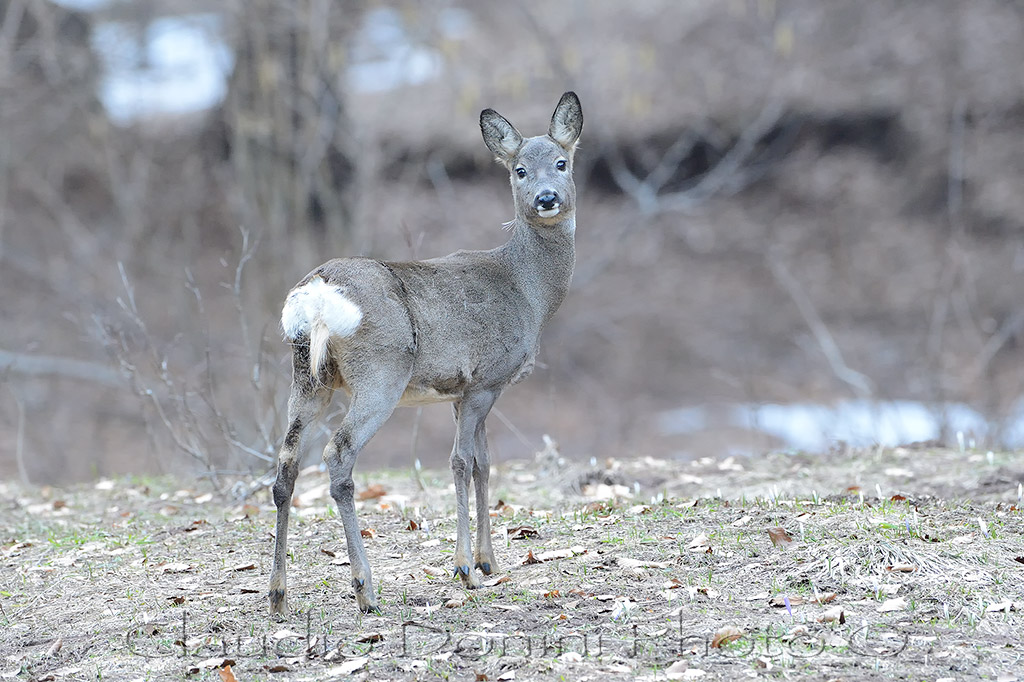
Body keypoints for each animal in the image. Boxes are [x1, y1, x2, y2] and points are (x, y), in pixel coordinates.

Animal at [268, 92, 583, 615]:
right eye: (519, 169)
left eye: (562, 163)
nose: (546, 198)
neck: (528, 290)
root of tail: (318, 291)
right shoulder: (485, 379)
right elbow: (460, 463)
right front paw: (465, 568)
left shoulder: (470, 391)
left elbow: (484, 463)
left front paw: (489, 562)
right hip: (381, 371)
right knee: (338, 454)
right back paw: (365, 589)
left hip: (307, 376)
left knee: (286, 463)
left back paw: (277, 593)